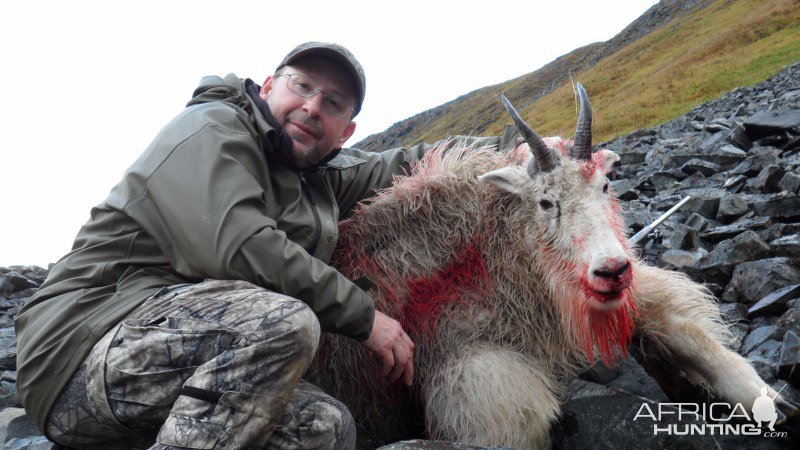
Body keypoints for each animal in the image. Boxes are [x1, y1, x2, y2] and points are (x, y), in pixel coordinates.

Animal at [310, 85, 796, 450]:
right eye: (546, 202)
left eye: (605, 185)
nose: (612, 271)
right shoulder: (471, 366)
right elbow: (521, 421)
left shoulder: (616, 300)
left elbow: (696, 340)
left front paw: (774, 403)